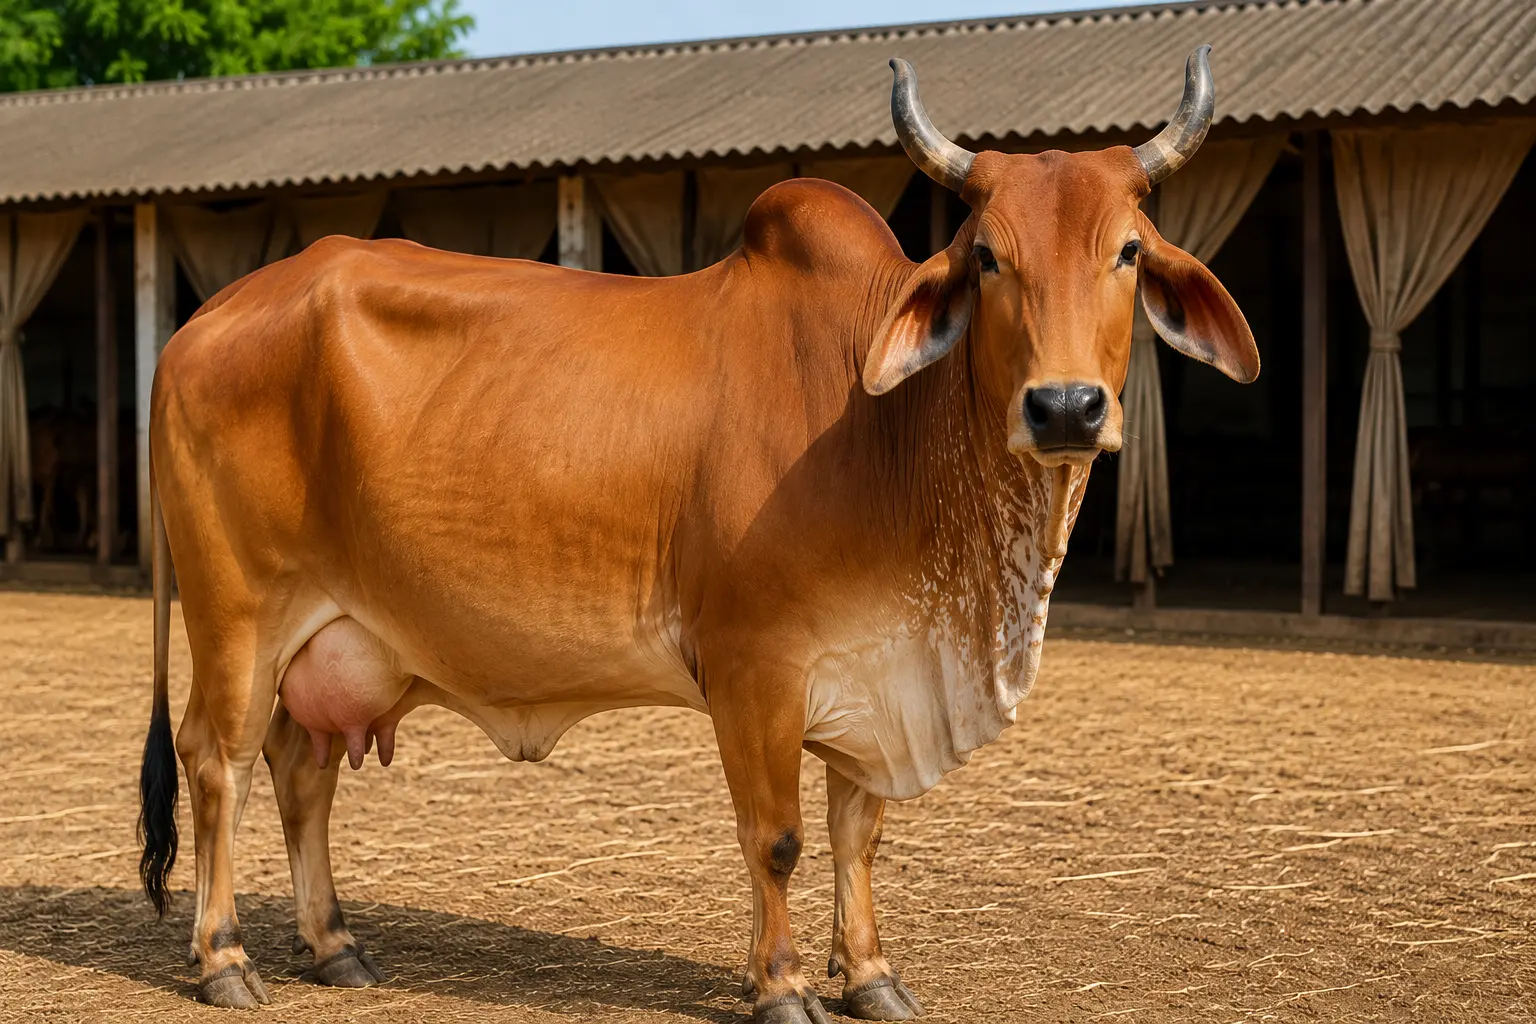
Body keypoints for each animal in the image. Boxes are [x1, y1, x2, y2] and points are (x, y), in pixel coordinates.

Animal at [138, 48, 1255, 1022]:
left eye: (1127, 251)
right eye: (987, 256)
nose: (1065, 407)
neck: (892, 434)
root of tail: (199, 324)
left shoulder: (876, 668)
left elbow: (860, 832)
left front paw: (873, 978)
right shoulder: (755, 667)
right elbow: (780, 838)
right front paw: (785, 987)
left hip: (335, 636)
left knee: (302, 770)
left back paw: (334, 944)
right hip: (239, 618)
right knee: (219, 762)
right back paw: (225, 958)